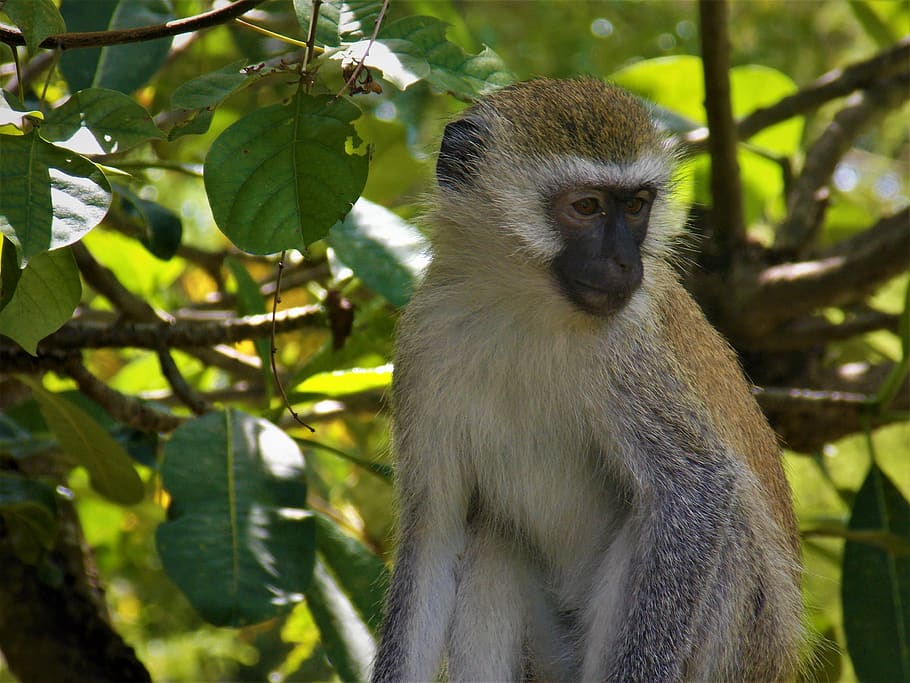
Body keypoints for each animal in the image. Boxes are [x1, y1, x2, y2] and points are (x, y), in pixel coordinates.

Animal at [372, 78, 803, 683]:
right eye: (586, 207)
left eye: (636, 206)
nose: (626, 264)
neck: (522, 308)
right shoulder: (423, 347)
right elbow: (435, 532)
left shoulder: (630, 354)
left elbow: (697, 487)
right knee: (490, 539)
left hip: (738, 644)